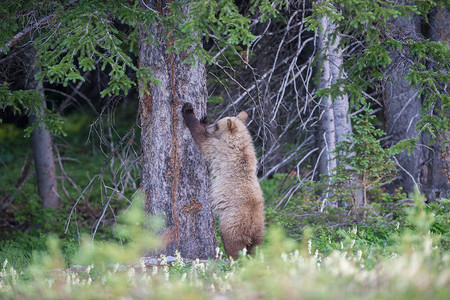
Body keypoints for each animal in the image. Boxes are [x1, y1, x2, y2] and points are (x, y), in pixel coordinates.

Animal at [181, 102, 264, 258]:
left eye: (217, 125)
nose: (208, 127)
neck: (237, 144)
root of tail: (251, 227)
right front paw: (203, 118)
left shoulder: (220, 150)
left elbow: (202, 140)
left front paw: (188, 110)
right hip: (259, 232)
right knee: (254, 249)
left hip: (232, 225)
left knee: (233, 245)